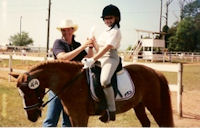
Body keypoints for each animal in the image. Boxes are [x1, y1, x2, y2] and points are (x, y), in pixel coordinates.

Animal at [10, 60, 173, 126]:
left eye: (29, 93)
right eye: (20, 94)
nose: (30, 117)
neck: (71, 82)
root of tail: (155, 72)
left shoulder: (80, 117)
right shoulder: (74, 117)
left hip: (155, 106)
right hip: (139, 105)